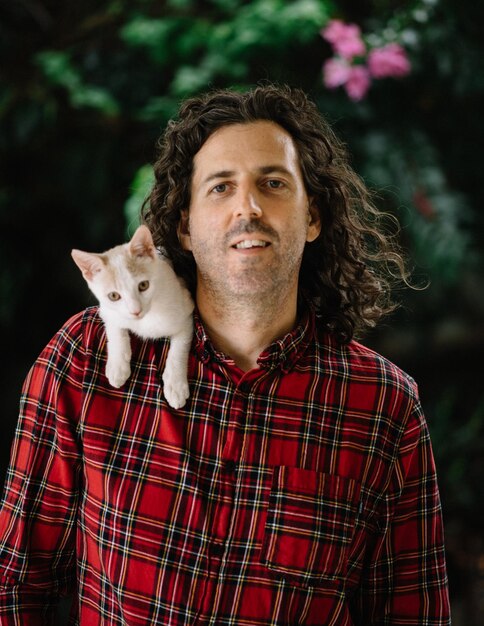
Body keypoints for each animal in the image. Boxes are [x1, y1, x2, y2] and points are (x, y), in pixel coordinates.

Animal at [72, 224, 193, 410]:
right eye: (114, 296)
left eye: (143, 285)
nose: (135, 311)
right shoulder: (107, 310)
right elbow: (115, 329)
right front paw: (118, 366)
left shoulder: (186, 311)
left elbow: (179, 349)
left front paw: (175, 385)